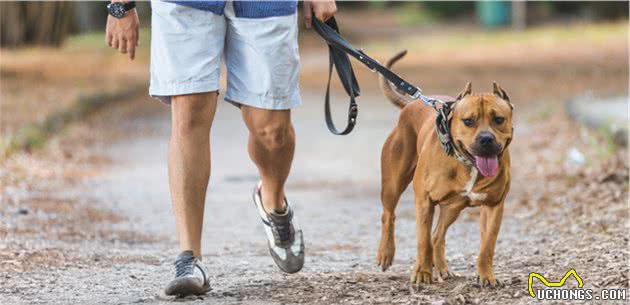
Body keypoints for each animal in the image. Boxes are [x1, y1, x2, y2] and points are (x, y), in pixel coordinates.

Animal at [376, 50, 512, 288]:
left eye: (498, 119)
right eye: (468, 121)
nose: (486, 139)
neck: (467, 164)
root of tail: (411, 104)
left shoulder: (494, 205)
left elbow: (487, 245)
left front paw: (486, 275)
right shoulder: (424, 201)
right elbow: (422, 241)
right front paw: (422, 273)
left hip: (453, 207)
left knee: (437, 236)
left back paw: (441, 267)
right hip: (393, 185)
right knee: (389, 215)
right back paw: (386, 253)